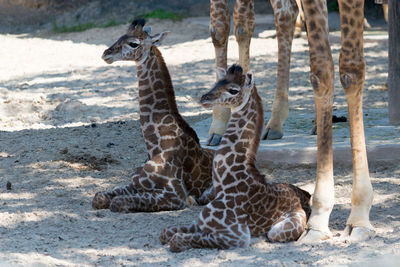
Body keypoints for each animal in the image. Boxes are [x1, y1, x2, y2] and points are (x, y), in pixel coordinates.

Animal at [91, 19, 216, 214]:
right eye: (120, 36)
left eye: (133, 43)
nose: (106, 54)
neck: (155, 144)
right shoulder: (136, 182)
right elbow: (100, 197)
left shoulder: (175, 194)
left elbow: (118, 202)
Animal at [160, 64, 312, 251]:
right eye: (217, 82)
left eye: (233, 90)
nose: (204, 98)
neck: (227, 183)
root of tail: (305, 197)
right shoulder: (200, 223)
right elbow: (165, 232)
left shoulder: (237, 236)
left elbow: (178, 240)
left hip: (277, 231)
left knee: (273, 234)